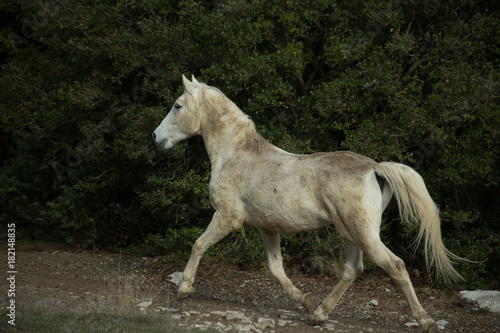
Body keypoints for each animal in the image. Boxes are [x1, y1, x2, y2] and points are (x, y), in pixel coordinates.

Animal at [151, 76, 464, 332]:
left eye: (178, 106)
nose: (155, 136)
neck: (235, 154)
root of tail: (375, 168)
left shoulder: (228, 217)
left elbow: (199, 245)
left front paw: (184, 288)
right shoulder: (267, 228)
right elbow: (276, 268)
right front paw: (305, 300)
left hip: (364, 234)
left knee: (395, 266)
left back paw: (425, 320)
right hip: (351, 233)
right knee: (352, 269)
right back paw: (319, 313)